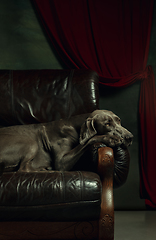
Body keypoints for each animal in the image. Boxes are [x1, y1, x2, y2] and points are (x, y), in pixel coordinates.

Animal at [0, 109, 133, 173]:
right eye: (107, 124)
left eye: (119, 120)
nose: (130, 137)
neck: (75, 126)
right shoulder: (61, 162)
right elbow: (90, 139)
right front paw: (112, 139)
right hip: (30, 142)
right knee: (22, 169)